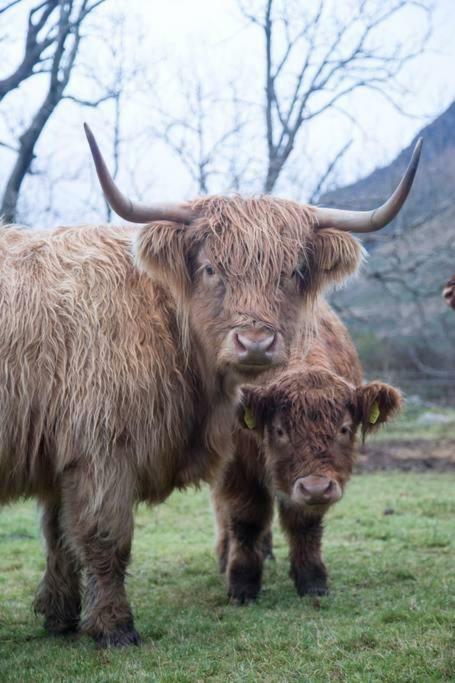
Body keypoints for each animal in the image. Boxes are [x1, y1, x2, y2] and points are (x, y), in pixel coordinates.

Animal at [0, 128, 420, 648]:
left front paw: (60, 617)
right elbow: (104, 539)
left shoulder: (61, 454)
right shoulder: (101, 450)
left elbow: (58, 536)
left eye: (292, 272)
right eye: (210, 268)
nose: (255, 341)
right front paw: (115, 627)